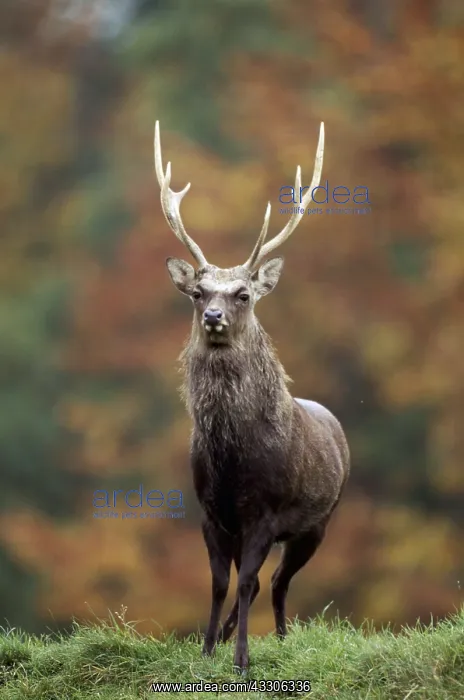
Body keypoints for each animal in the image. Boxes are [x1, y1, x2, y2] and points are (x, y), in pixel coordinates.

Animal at [154, 120, 350, 672]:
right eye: (198, 293)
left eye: (242, 294)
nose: (213, 316)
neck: (232, 460)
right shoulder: (212, 513)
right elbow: (221, 583)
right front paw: (206, 650)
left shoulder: (264, 512)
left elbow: (244, 584)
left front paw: (242, 659)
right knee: (267, 582)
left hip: (318, 522)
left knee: (278, 582)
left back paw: (281, 641)